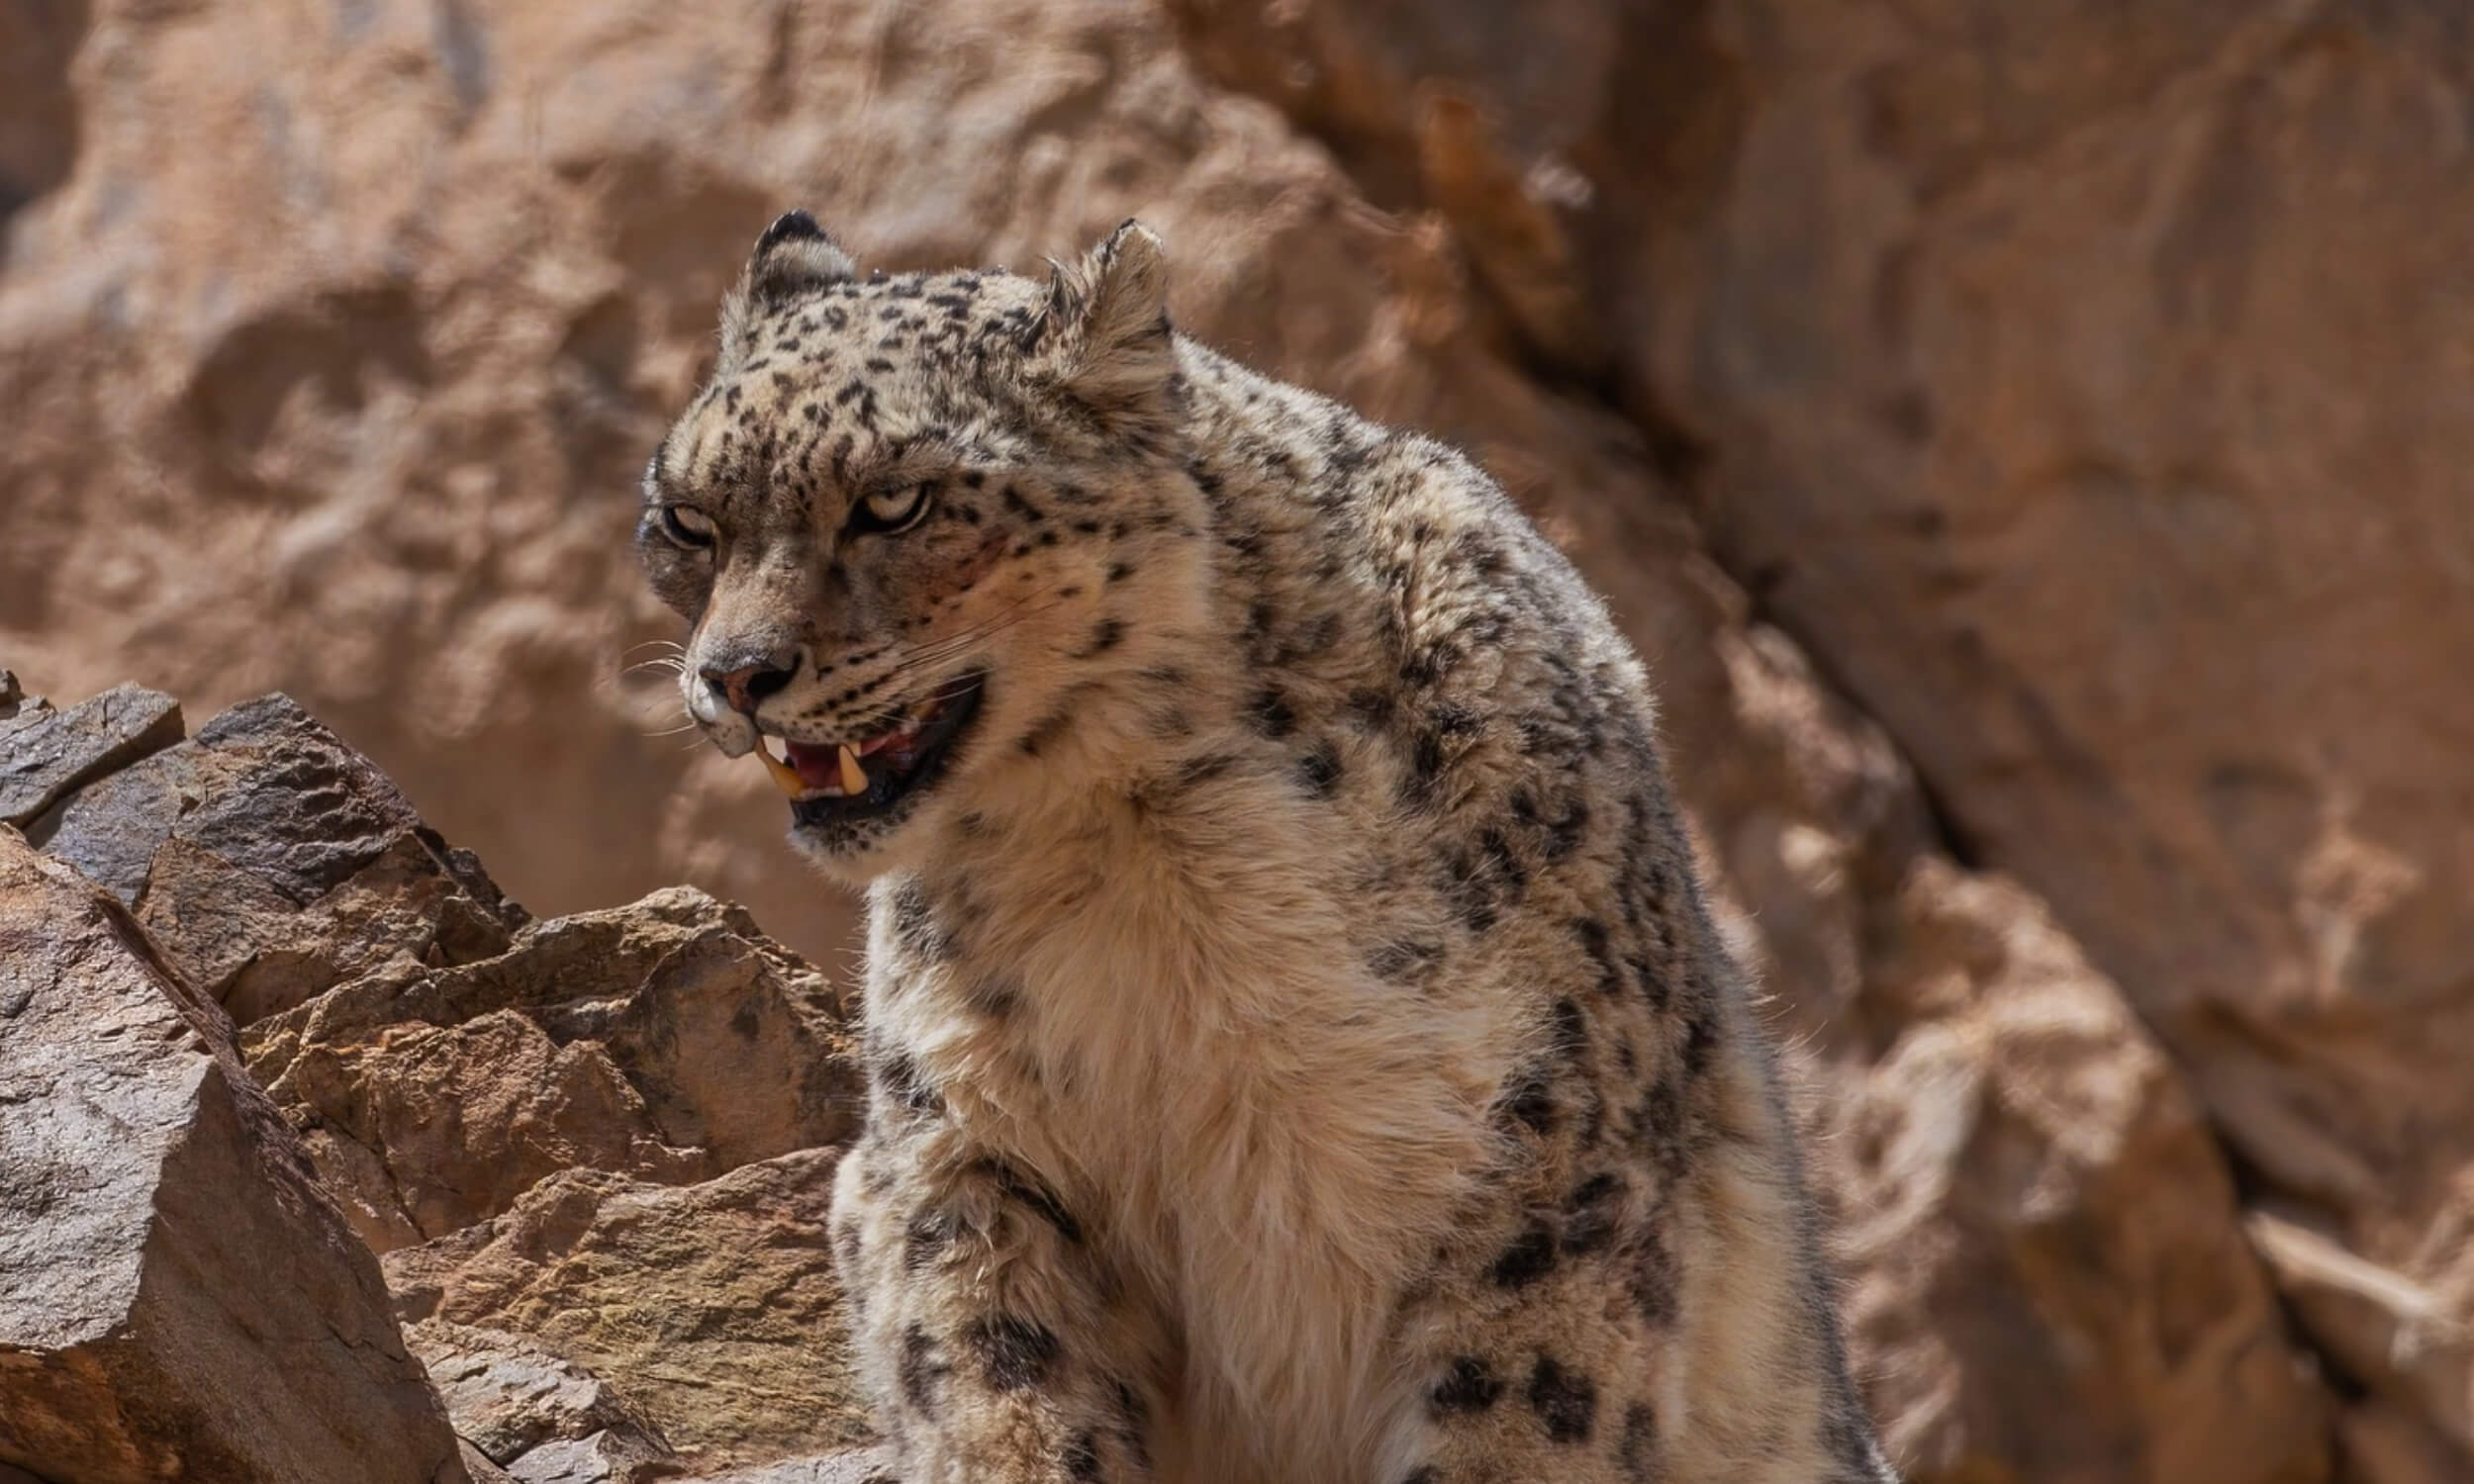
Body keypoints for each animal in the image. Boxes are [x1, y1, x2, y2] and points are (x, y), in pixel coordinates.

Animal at [637, 209, 1897, 1484]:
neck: (1145, 860)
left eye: (896, 501)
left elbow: (1515, 1426)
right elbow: (993, 1388)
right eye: (687, 520)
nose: (733, 675)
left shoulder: (1551, 1166)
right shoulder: (963, 1151)